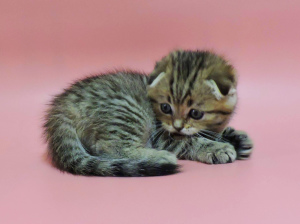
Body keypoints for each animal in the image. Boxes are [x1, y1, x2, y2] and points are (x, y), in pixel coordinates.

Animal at [44, 49, 253, 177]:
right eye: (166, 108)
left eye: (195, 113)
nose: (177, 125)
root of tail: (63, 104)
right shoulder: (163, 134)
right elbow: (189, 141)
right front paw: (216, 148)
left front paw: (236, 138)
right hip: (127, 111)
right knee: (107, 147)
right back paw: (158, 157)